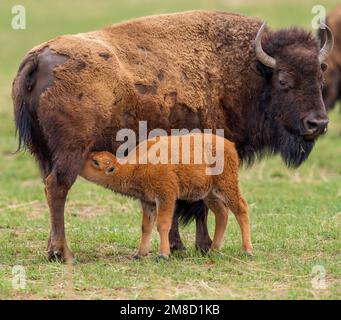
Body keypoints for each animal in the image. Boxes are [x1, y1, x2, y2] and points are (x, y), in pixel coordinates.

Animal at [79, 134, 250, 258]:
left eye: (95, 162)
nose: (81, 161)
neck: (136, 166)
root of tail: (230, 145)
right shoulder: (148, 202)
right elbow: (146, 227)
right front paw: (139, 254)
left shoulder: (165, 196)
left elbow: (163, 224)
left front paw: (163, 254)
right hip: (209, 194)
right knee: (222, 214)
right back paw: (213, 250)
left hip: (226, 186)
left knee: (241, 209)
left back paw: (246, 251)